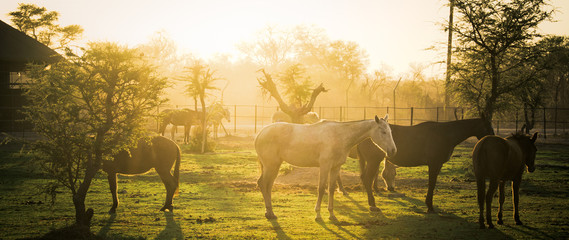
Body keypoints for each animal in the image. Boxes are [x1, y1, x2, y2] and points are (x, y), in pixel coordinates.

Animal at [254, 114, 394, 221]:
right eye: (383, 132)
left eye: (390, 132)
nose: (393, 150)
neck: (339, 135)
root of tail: (261, 133)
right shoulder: (325, 166)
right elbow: (321, 189)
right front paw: (318, 214)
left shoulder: (335, 167)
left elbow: (331, 189)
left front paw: (332, 214)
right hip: (271, 166)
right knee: (263, 184)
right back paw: (270, 213)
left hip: (274, 166)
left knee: (268, 186)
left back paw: (269, 212)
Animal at [350, 118, 492, 212]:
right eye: (487, 126)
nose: (492, 137)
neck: (444, 134)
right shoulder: (434, 164)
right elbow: (432, 184)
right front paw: (429, 206)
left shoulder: (436, 165)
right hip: (373, 161)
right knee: (367, 179)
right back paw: (373, 204)